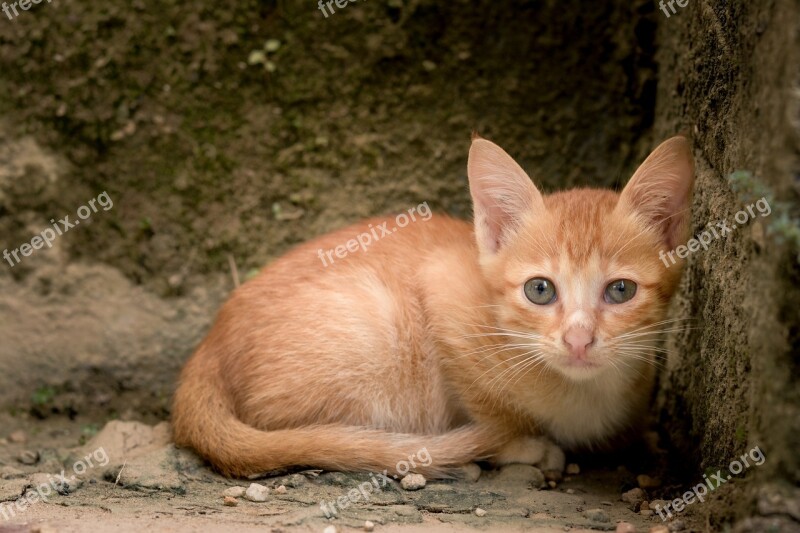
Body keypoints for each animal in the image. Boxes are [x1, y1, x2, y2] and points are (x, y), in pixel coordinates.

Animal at [170, 135, 692, 476]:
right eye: (540, 290)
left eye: (620, 291)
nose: (579, 339)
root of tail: (207, 349)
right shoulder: (443, 289)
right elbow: (493, 415)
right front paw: (522, 444)